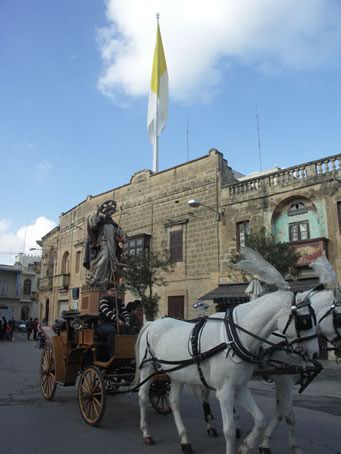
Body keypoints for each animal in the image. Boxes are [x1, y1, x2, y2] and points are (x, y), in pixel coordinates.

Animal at [133, 290, 318, 454]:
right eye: (305, 321)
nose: (316, 353)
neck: (234, 339)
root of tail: (151, 323)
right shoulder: (225, 392)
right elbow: (229, 430)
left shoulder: (240, 387)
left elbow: (260, 420)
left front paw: (246, 446)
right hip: (148, 368)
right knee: (142, 396)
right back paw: (146, 433)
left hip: (176, 374)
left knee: (174, 402)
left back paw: (185, 440)